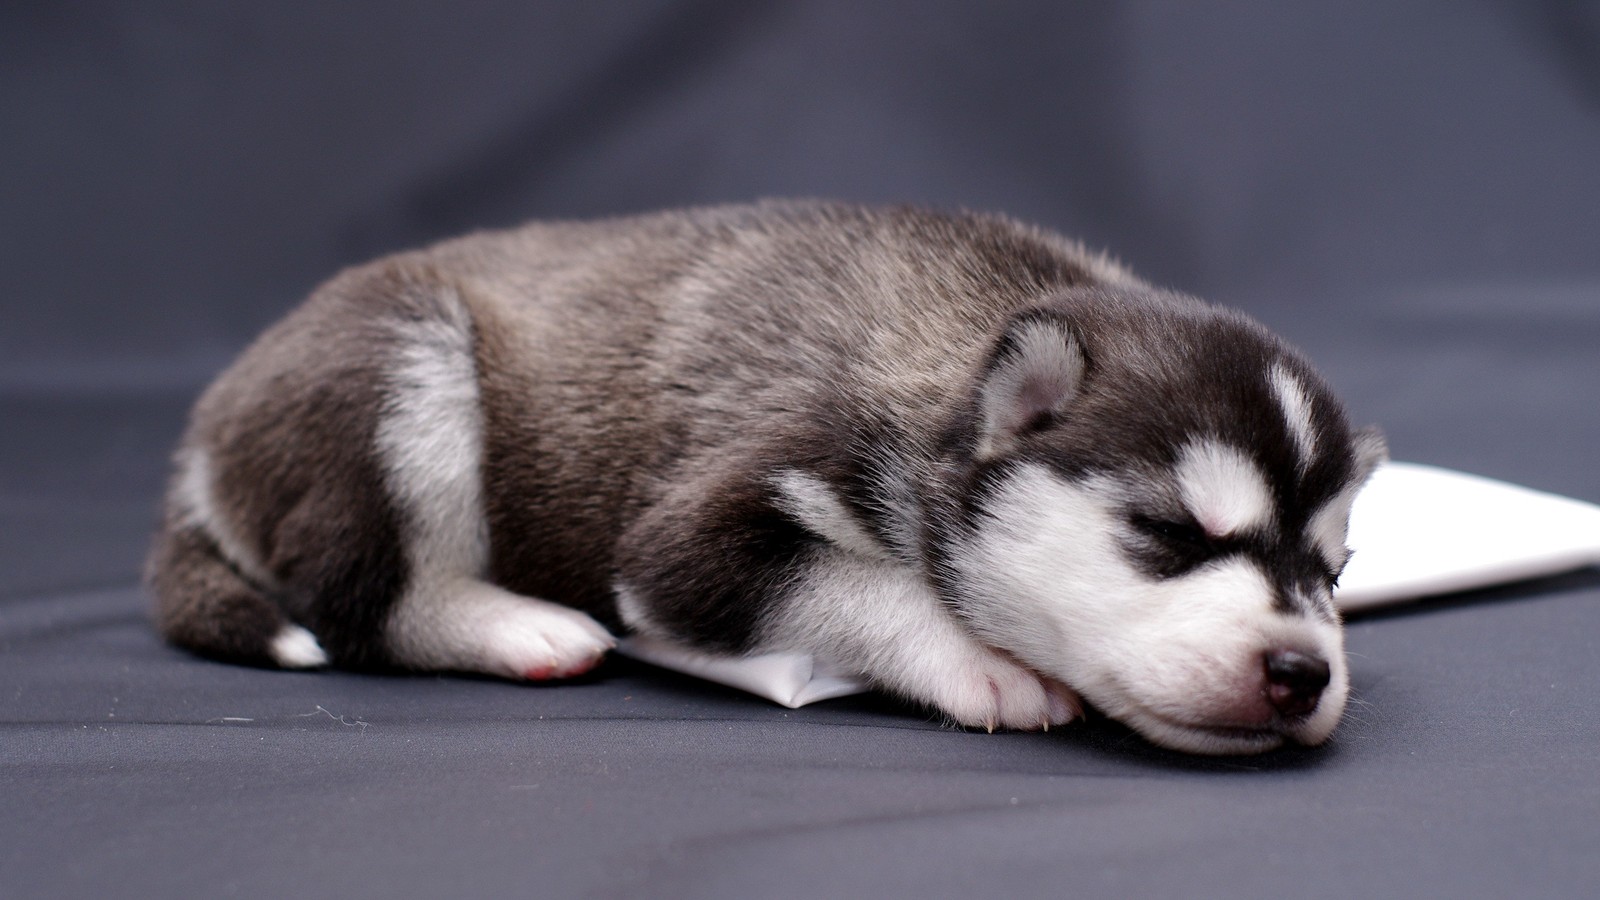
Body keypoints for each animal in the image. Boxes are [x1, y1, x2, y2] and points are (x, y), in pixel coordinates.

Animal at [147, 201, 1388, 749]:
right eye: (1168, 534)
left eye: (1334, 574)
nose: (1301, 674)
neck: (974, 325)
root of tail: (196, 439)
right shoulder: (694, 535)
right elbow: (859, 585)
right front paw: (978, 662)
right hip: (399, 372)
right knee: (366, 600)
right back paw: (514, 625)